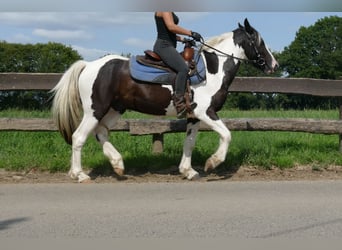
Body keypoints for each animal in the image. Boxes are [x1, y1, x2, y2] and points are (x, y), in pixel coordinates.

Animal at [52, 17, 280, 182]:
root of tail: (88, 65)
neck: (212, 70)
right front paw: (212, 163)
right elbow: (226, 135)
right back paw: (79, 174)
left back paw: (118, 164)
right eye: (259, 41)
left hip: (115, 109)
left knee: (101, 132)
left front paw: (188, 171)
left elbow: (189, 142)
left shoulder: (194, 116)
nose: (274, 65)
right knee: (79, 137)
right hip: (95, 110)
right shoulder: (206, 112)